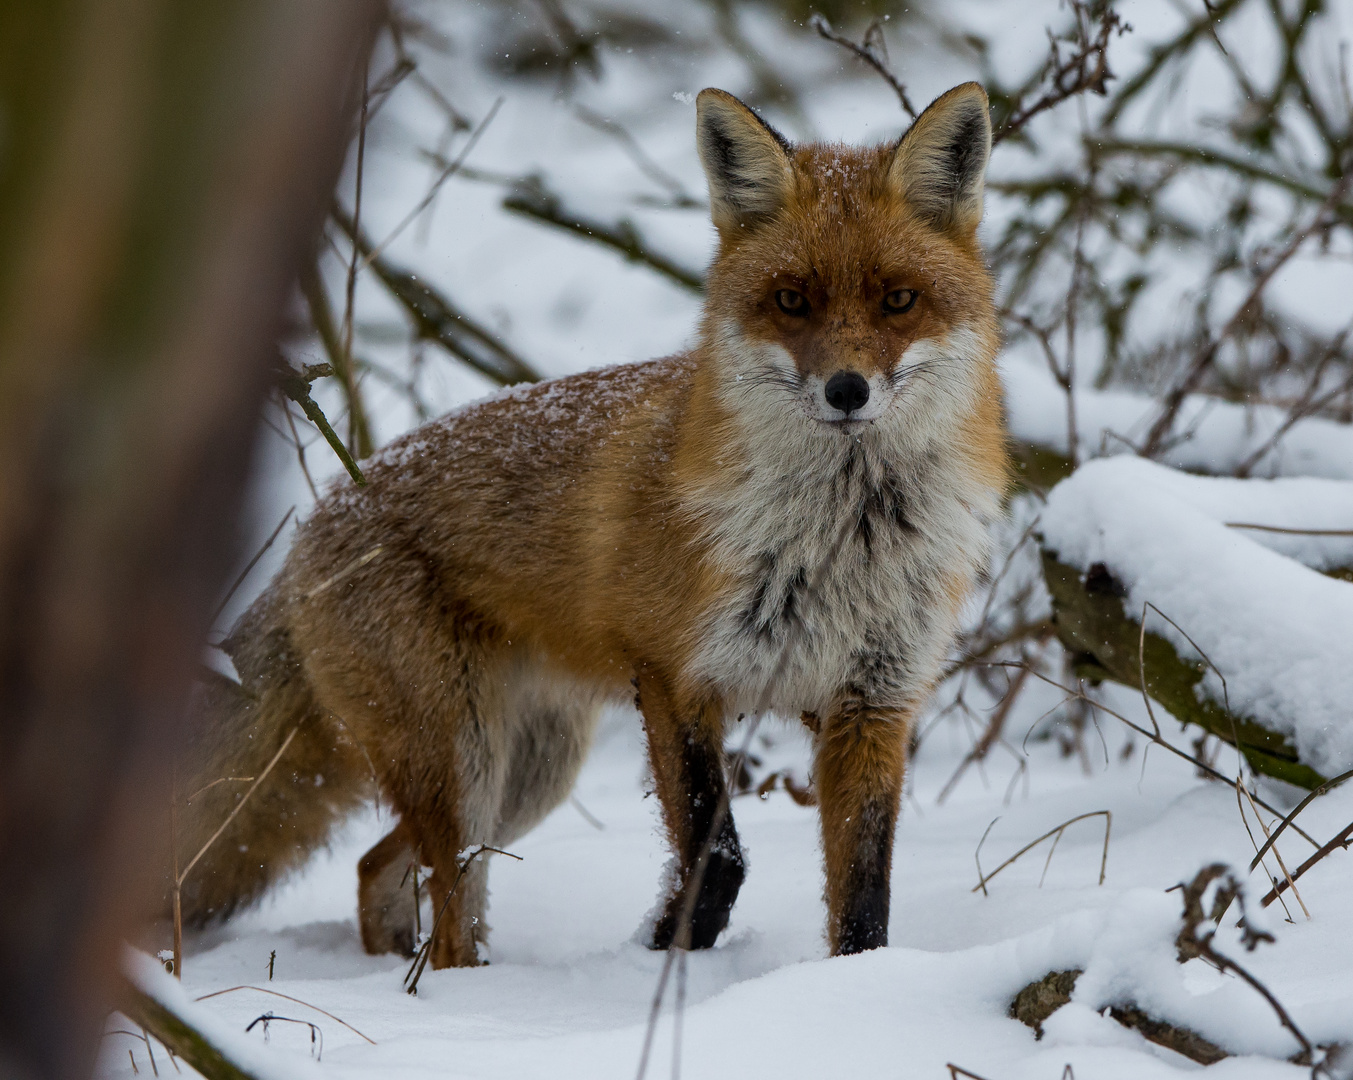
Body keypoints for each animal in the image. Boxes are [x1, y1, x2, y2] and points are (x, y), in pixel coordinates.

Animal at [177, 80, 1006, 969]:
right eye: (791, 300)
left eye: (898, 300)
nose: (846, 390)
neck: (842, 542)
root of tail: (323, 509)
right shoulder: (675, 678)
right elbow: (715, 859)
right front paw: (665, 953)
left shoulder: (872, 704)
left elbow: (862, 903)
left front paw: (852, 985)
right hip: (463, 765)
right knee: (445, 902)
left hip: (528, 776)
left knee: (378, 869)